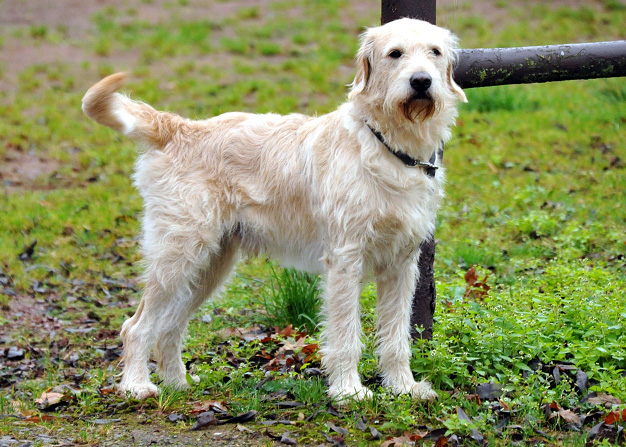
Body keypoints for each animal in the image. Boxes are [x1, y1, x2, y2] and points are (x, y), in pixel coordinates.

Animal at [81, 16, 464, 402]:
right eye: (395, 53)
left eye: (434, 52)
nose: (421, 81)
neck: (391, 149)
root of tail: (181, 128)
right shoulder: (345, 260)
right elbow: (345, 335)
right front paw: (348, 391)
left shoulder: (401, 264)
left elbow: (398, 337)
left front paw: (404, 387)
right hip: (177, 257)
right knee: (136, 326)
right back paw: (136, 385)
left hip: (210, 265)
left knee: (169, 327)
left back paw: (178, 383)